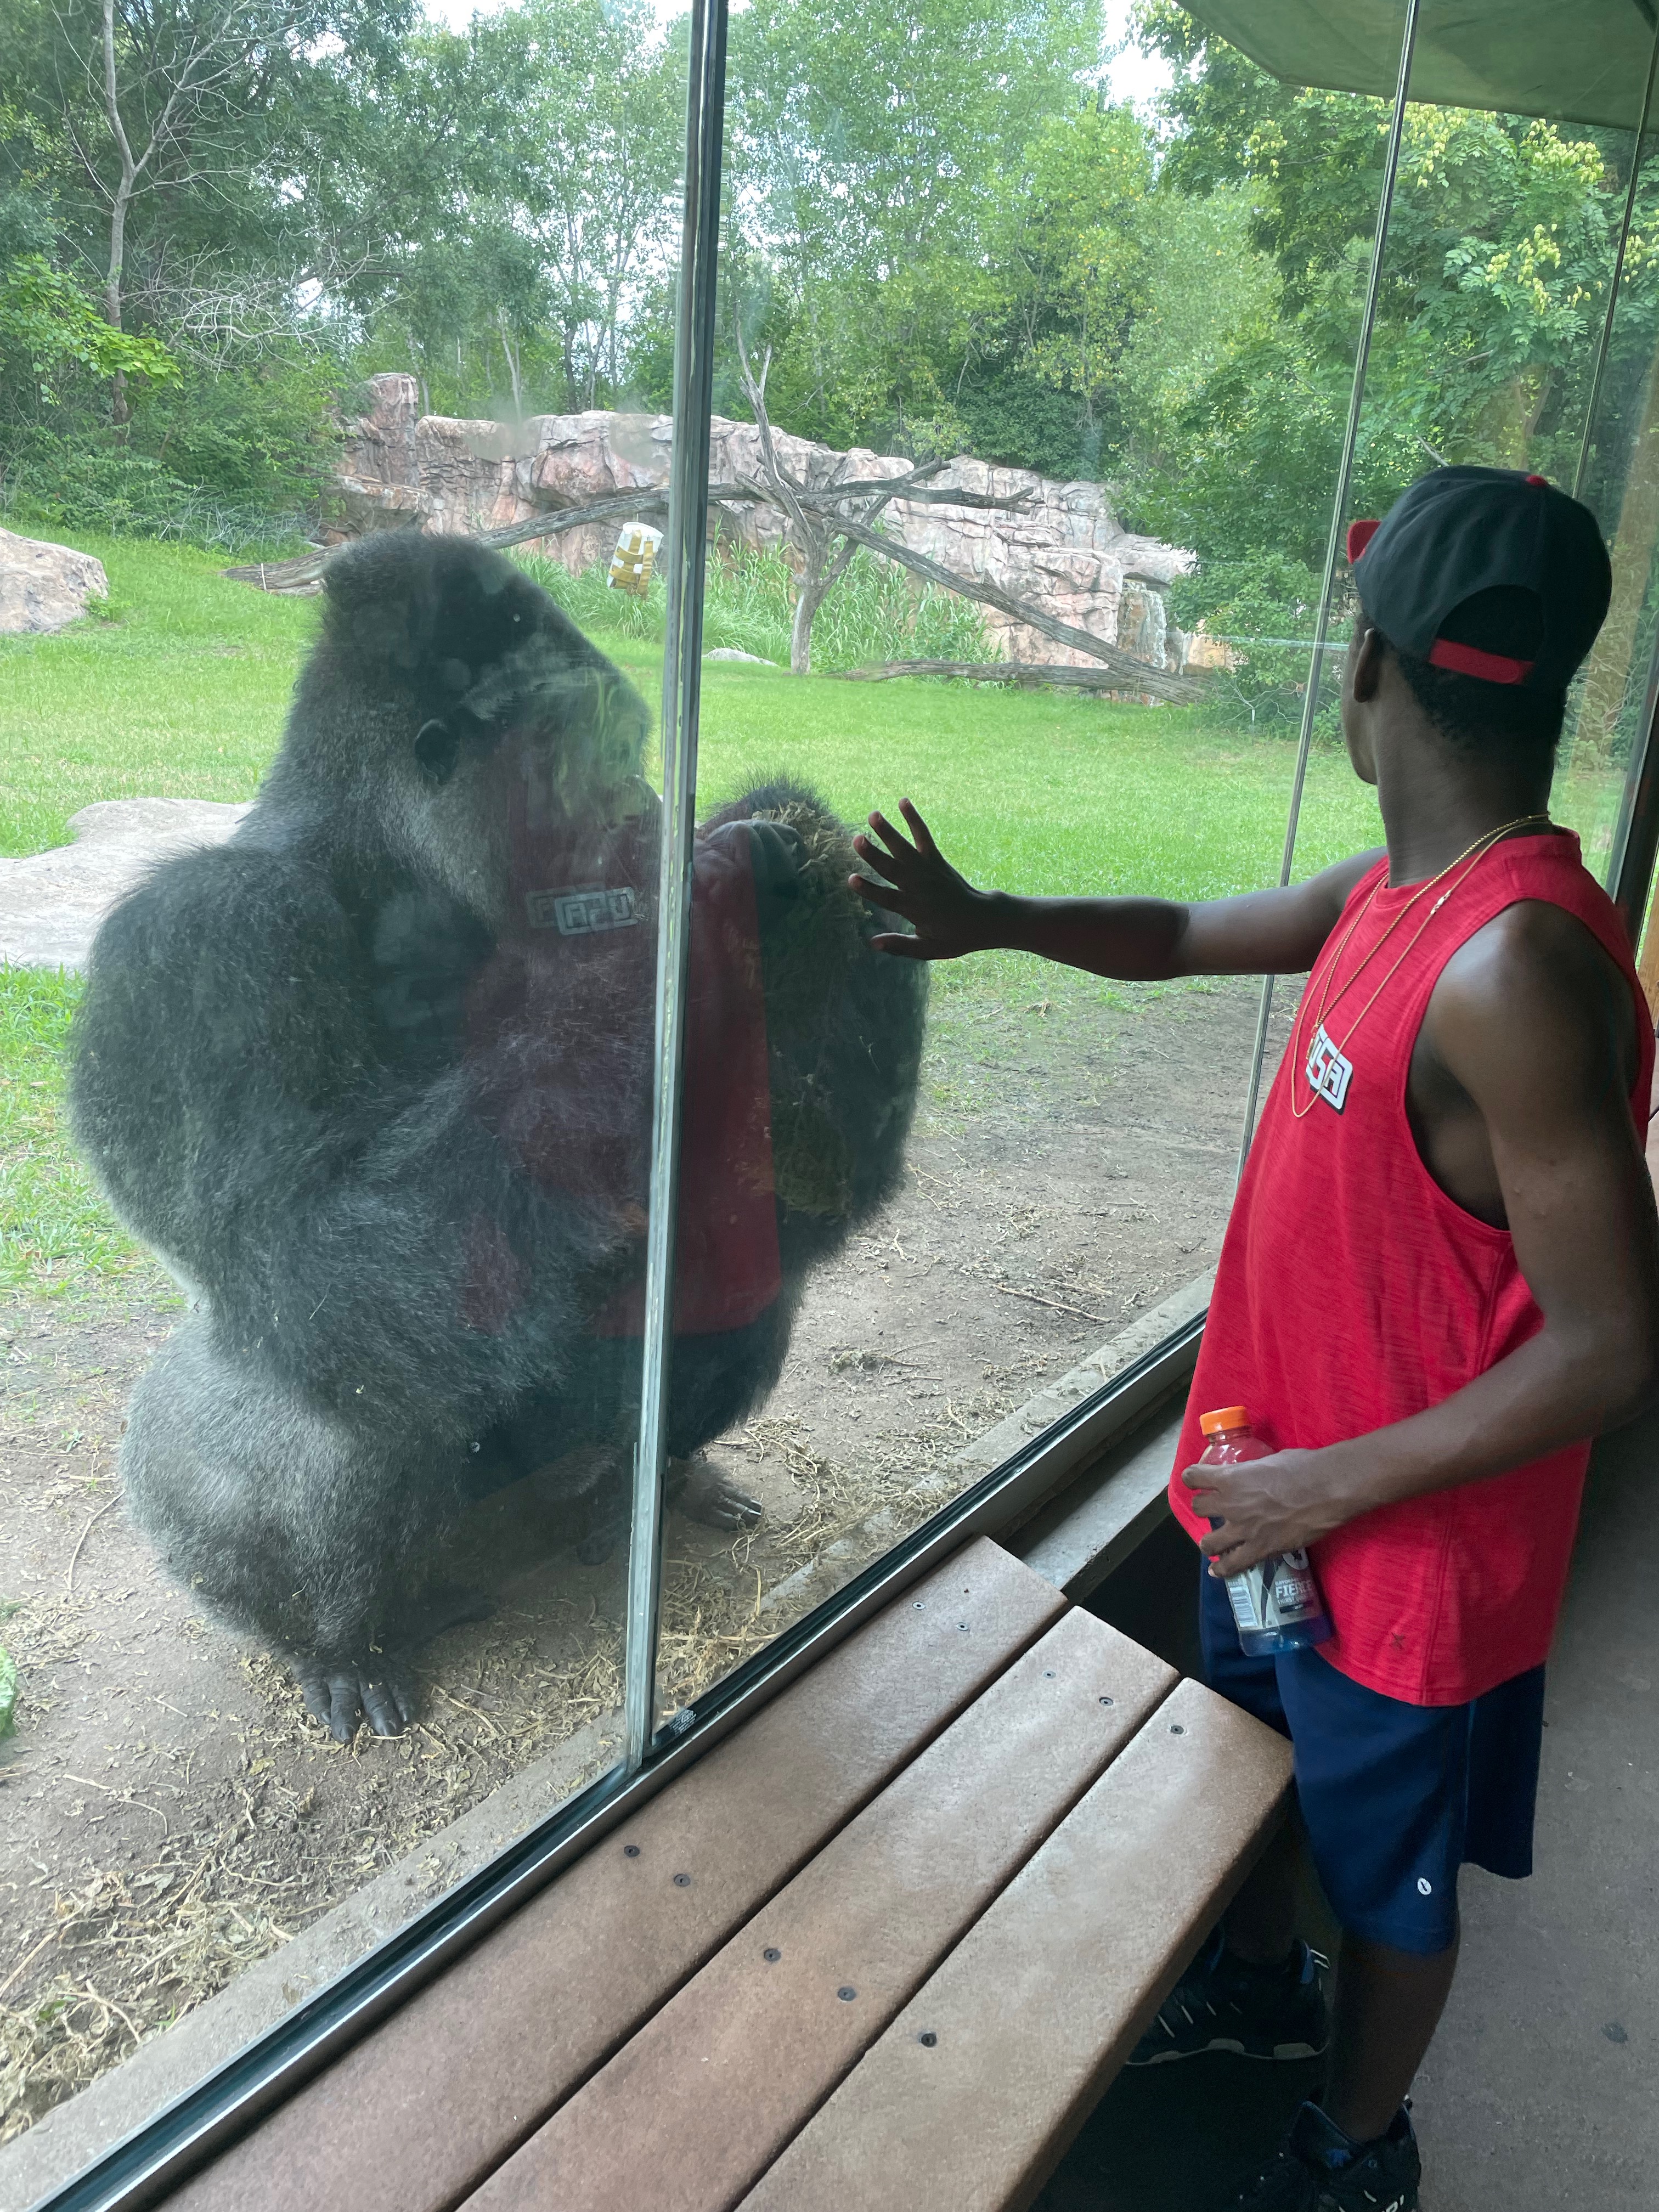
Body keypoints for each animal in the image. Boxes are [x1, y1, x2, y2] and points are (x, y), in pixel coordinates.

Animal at [69, 532, 926, 1741]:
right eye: (595, 760)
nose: (646, 810)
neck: (385, 863)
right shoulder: (203, 936)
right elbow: (298, 1252)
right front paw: (703, 919)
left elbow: (777, 1197)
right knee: (333, 1410)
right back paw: (341, 1642)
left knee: (734, 1293)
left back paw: (655, 1484)